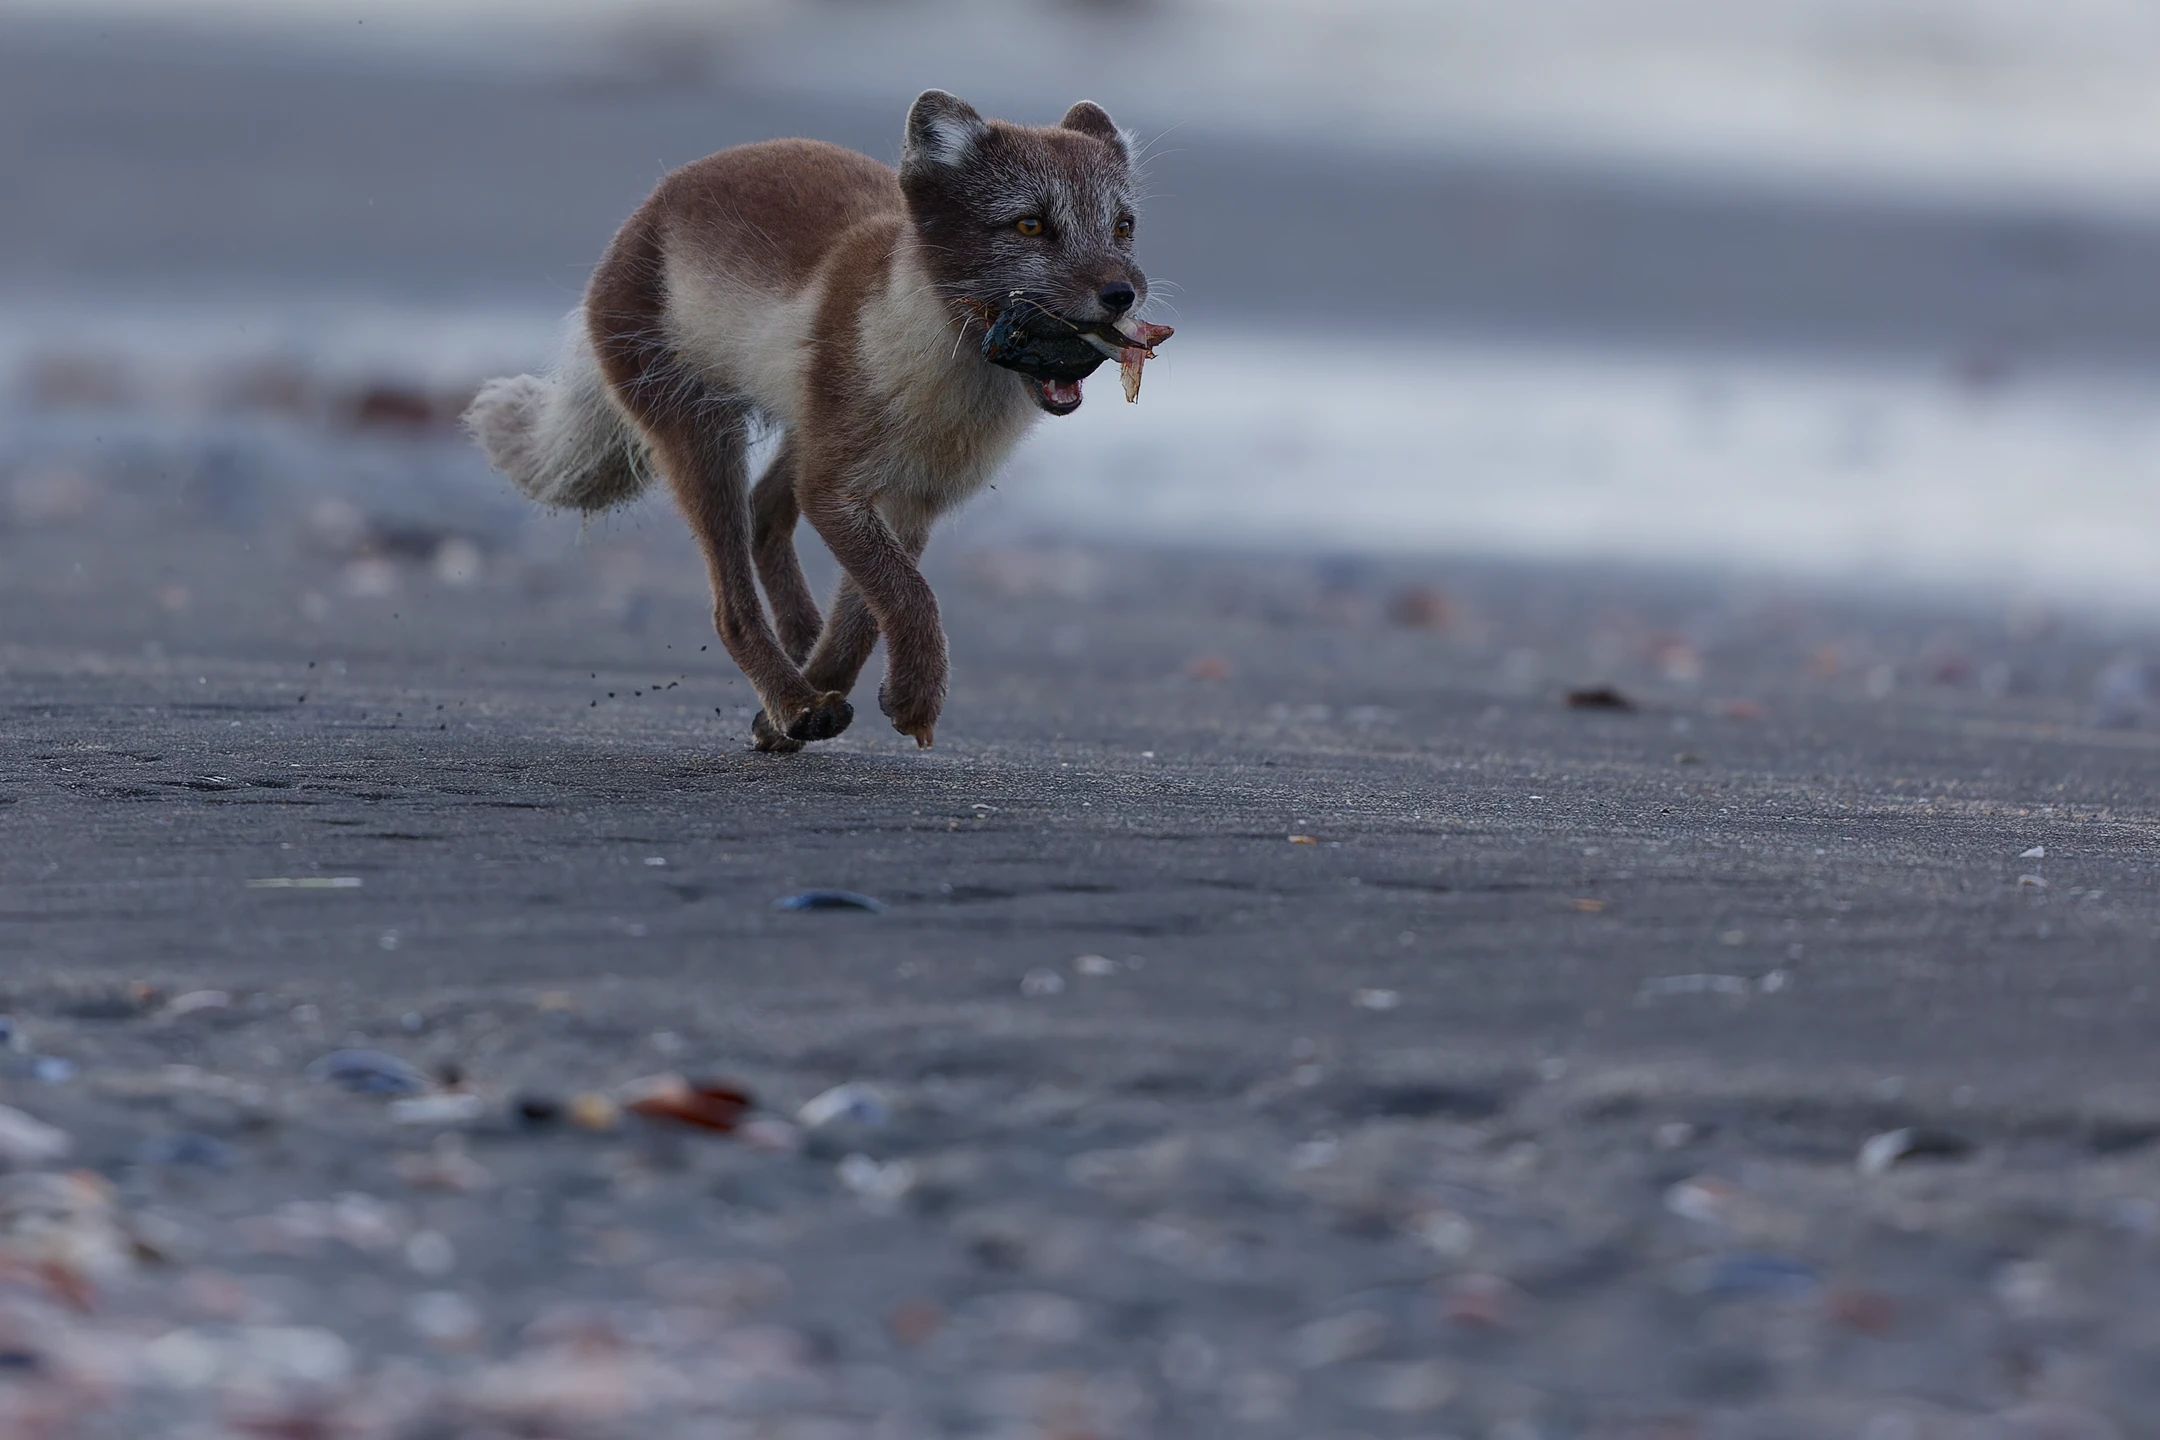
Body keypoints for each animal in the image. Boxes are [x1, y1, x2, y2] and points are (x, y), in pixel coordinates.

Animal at [465, 90, 1162, 753]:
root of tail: (647, 208)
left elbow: (869, 611)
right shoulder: (834, 487)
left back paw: (801, 663)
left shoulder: (913, 500)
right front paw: (905, 698)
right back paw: (793, 696)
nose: (1122, 294)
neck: (947, 396)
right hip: (703, 435)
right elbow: (908, 595)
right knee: (731, 604)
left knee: (765, 514)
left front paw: (823, 693)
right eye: (1031, 224)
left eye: (1123, 226)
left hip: (799, 431)